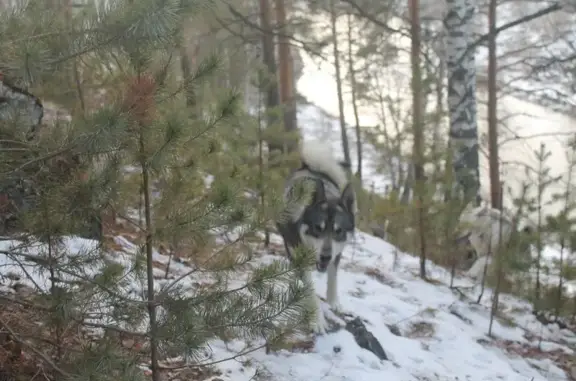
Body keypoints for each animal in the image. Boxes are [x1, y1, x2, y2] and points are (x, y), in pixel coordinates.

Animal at [276, 141, 356, 334]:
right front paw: (316, 320)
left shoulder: (337, 254)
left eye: (338, 231)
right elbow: (311, 292)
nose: (325, 256)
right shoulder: (299, 255)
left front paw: (334, 302)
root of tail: (310, 167)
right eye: (317, 228)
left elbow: (333, 279)